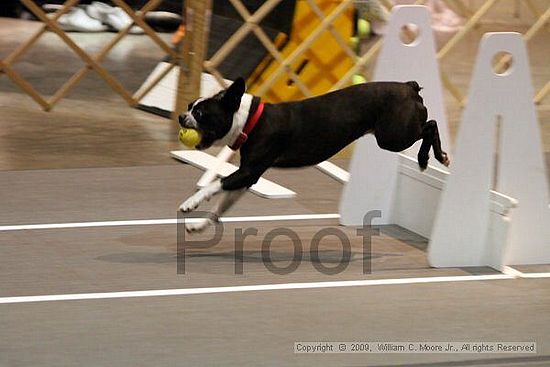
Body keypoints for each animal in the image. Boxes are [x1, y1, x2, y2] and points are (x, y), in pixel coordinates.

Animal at [179, 78, 450, 233]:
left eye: (201, 114)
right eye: (190, 105)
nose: (182, 116)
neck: (250, 121)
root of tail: (408, 87)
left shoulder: (247, 172)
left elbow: (215, 184)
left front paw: (190, 203)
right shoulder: (248, 178)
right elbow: (221, 205)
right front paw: (200, 224)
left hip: (392, 137)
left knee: (431, 125)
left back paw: (431, 157)